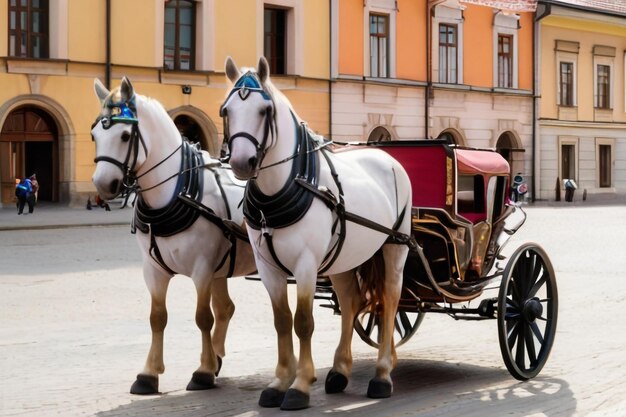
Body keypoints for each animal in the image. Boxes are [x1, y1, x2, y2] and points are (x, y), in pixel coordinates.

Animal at [89, 77, 254, 394]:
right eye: (94, 135)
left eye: (125, 135)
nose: (103, 184)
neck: (175, 193)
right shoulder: (153, 269)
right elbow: (157, 318)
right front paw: (148, 373)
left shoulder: (202, 268)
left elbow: (202, 317)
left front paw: (202, 372)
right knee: (226, 308)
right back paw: (217, 357)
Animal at [222, 56, 412, 410]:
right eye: (226, 110)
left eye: (264, 111)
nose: (242, 162)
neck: (281, 190)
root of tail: (385, 155)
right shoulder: (268, 268)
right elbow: (282, 320)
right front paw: (280, 381)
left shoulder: (306, 264)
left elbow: (303, 322)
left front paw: (299, 385)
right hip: (344, 257)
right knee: (352, 303)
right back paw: (341, 369)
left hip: (395, 246)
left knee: (390, 300)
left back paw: (382, 373)